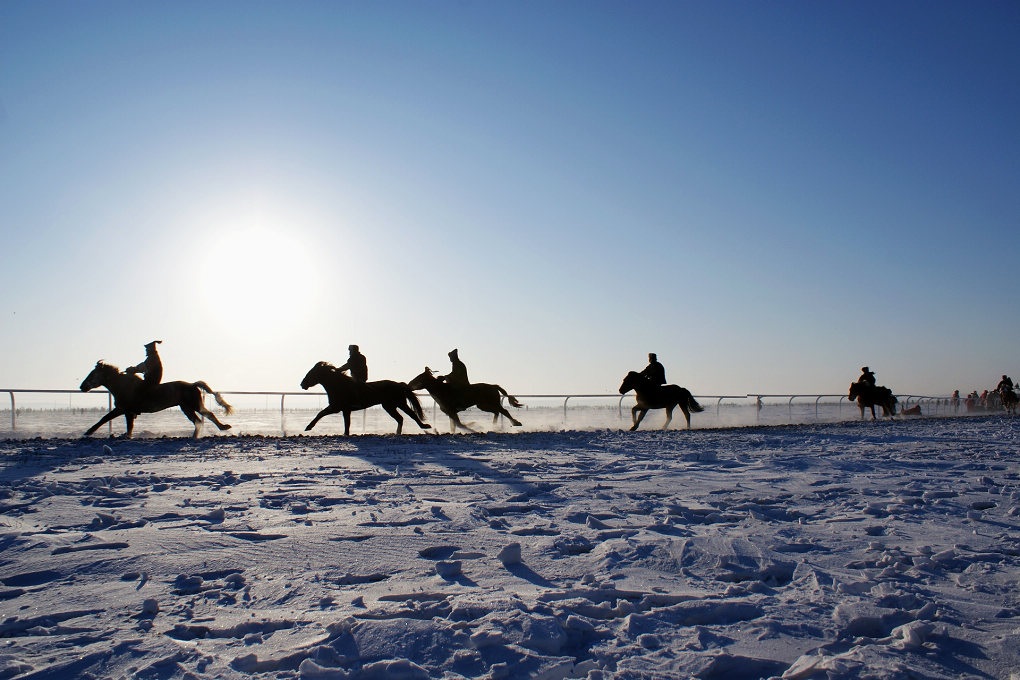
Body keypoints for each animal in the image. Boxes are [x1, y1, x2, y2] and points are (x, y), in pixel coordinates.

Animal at [78, 358, 232, 438]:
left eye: (92, 374)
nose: (82, 386)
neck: (123, 386)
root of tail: (193, 384)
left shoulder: (125, 410)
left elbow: (109, 421)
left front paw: (86, 433)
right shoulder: (124, 410)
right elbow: (106, 420)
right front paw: (87, 433)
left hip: (193, 405)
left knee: (208, 415)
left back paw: (224, 427)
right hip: (186, 408)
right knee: (198, 421)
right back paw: (197, 435)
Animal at [299, 360, 432, 436]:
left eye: (312, 373)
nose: (302, 384)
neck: (340, 386)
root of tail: (399, 384)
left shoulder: (337, 408)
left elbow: (322, 414)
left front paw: (308, 427)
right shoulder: (342, 409)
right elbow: (342, 422)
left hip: (399, 403)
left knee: (411, 415)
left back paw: (424, 426)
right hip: (389, 406)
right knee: (400, 418)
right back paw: (398, 433)